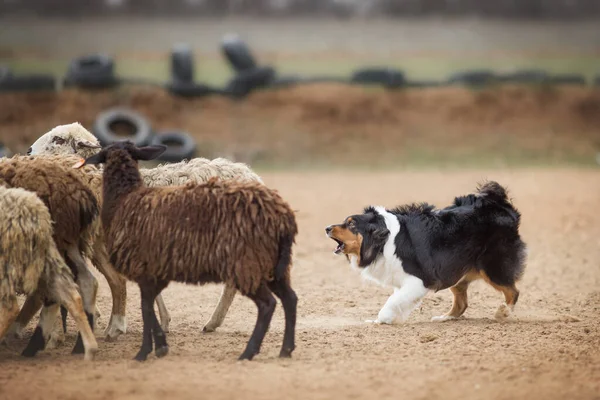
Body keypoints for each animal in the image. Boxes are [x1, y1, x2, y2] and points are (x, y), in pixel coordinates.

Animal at [0, 155, 99, 354]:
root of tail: (81, 192)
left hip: (50, 245)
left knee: (53, 292)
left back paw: (34, 345)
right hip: (67, 243)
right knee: (86, 281)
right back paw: (80, 345)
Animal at [326, 181, 528, 324]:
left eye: (352, 224)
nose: (327, 228)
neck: (384, 241)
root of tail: (501, 206)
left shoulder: (419, 280)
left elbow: (392, 301)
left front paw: (381, 320)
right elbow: (397, 300)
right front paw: (388, 319)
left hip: (492, 268)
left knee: (513, 292)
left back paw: (503, 312)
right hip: (454, 270)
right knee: (462, 303)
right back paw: (445, 318)